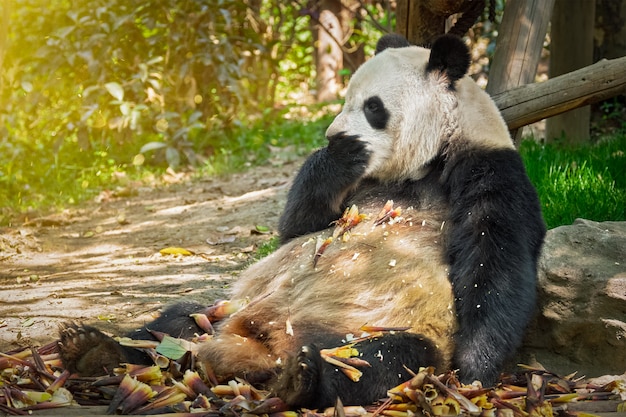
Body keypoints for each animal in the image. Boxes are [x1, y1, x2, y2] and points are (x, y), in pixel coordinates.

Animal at [61, 33, 544, 410]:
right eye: (346, 100)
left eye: (373, 107)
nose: (334, 133)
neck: (420, 165)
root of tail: (261, 348)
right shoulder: (355, 187)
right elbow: (298, 227)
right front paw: (338, 155)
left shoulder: (488, 168)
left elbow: (495, 260)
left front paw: (475, 370)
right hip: (225, 310)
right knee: (174, 323)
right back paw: (95, 349)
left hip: (376, 327)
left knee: (383, 359)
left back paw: (303, 380)